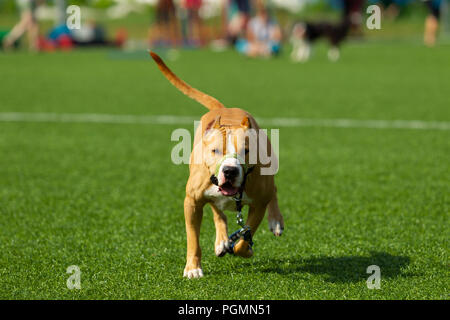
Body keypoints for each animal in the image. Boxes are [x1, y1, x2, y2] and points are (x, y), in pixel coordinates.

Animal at [151, 52, 284, 278]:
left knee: (272, 191)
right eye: (215, 151)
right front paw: (193, 268)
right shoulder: (192, 202)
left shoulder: (258, 203)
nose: (229, 170)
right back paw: (222, 240)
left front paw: (245, 248)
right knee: (218, 211)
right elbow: (193, 239)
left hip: (269, 167)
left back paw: (275, 221)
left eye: (246, 151)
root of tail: (224, 109)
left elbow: (246, 233)